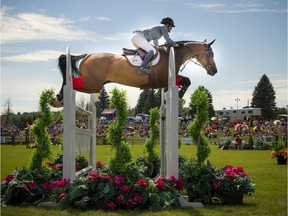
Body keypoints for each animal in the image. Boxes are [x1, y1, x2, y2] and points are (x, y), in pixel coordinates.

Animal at [50, 39, 216, 107]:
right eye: (211, 54)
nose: (214, 71)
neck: (171, 54)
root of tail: (87, 55)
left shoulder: (167, 80)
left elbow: (186, 80)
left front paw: (179, 94)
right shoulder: (164, 79)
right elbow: (186, 81)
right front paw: (180, 94)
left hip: (94, 86)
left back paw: (58, 99)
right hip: (93, 84)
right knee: (72, 83)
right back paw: (58, 99)